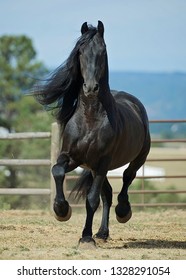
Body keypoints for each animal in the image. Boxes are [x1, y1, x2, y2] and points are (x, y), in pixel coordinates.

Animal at [35, 20, 151, 245]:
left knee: (127, 177)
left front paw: (86, 237)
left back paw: (123, 212)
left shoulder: (102, 161)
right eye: (80, 51)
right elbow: (57, 170)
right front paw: (62, 210)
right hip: (96, 168)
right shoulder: (72, 157)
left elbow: (91, 199)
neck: (90, 119)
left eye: (102, 51)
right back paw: (103, 233)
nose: (90, 88)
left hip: (136, 157)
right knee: (108, 193)